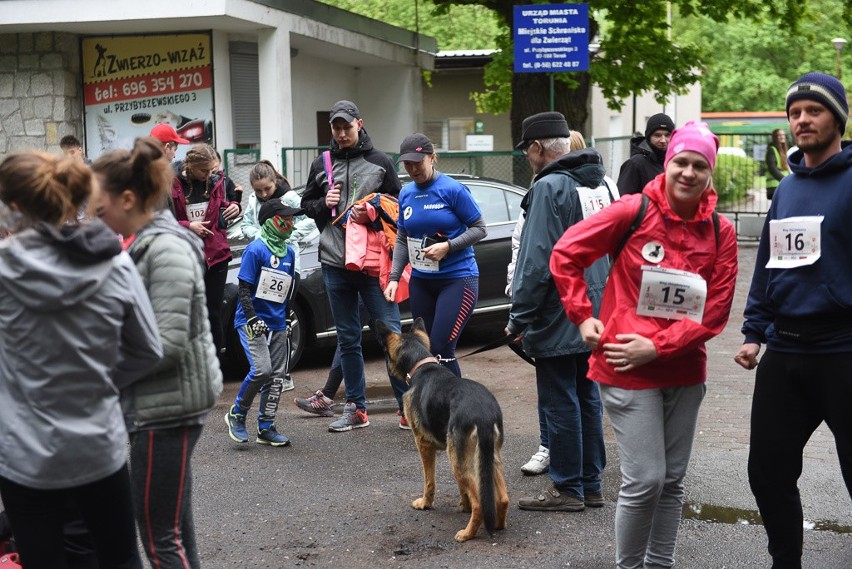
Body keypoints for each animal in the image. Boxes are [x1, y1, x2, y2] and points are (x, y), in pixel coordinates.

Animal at [376, 318, 510, 540]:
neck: (423, 365)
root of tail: (482, 413)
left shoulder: (423, 445)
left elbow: (429, 481)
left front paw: (425, 503)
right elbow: (462, 489)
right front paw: (463, 505)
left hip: (458, 462)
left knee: (479, 503)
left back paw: (467, 533)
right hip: (489, 458)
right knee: (503, 498)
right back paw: (499, 524)